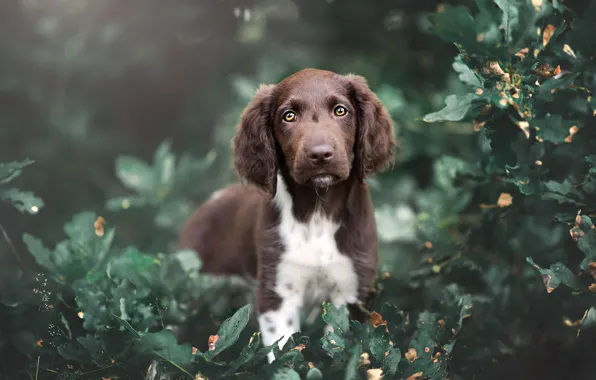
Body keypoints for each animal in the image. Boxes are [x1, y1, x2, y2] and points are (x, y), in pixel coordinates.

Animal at [178, 68, 396, 362]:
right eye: (288, 116)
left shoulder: (353, 289)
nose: (320, 154)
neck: (317, 213)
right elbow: (283, 351)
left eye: (341, 111)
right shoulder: (277, 292)